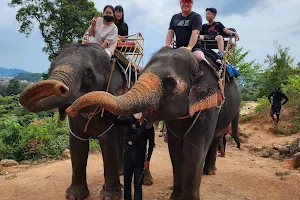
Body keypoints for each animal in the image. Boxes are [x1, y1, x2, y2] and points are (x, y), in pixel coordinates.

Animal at [18, 42, 133, 200]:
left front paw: (110, 196)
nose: (60, 87)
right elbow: (77, 144)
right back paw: (121, 172)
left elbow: (108, 141)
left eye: (88, 73)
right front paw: (74, 196)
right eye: (51, 65)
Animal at [67, 46, 243, 199]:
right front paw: (176, 197)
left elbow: (195, 146)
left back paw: (210, 171)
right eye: (140, 74)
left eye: (170, 82)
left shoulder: (208, 104)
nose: (70, 110)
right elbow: (174, 147)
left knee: (215, 139)